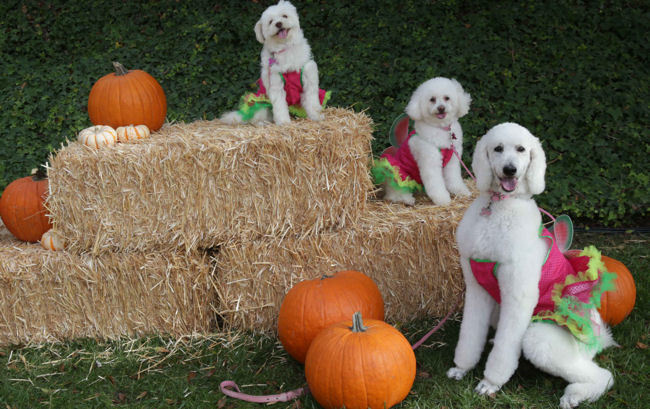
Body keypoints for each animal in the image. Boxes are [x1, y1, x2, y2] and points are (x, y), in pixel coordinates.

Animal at [374, 77, 470, 206]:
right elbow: (435, 183)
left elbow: (454, 179)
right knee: (397, 191)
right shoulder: (430, 161)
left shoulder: (453, 160)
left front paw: (461, 191)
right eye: (432, 99)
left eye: (447, 98)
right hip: (398, 174)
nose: (441, 108)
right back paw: (406, 199)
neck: (440, 128)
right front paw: (442, 199)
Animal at [448, 122, 616, 406]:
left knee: (603, 376)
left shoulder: (519, 294)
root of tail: (597, 339)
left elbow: (506, 348)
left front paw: (490, 383)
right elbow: (470, 333)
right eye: (498, 148)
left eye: (521, 149)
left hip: (540, 338)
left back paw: (574, 395)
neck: (499, 208)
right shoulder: (477, 289)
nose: (510, 169)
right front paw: (462, 367)